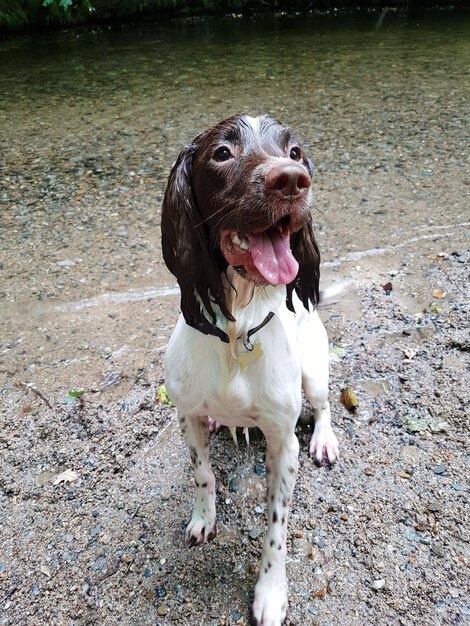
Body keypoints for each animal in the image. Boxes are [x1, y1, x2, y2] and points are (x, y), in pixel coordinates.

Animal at [161, 114, 338, 620]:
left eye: (295, 152)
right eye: (223, 153)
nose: (293, 180)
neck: (238, 331)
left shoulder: (282, 443)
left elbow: (276, 528)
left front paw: (271, 593)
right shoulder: (186, 414)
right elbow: (203, 473)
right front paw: (204, 518)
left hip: (314, 372)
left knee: (324, 406)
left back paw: (325, 439)